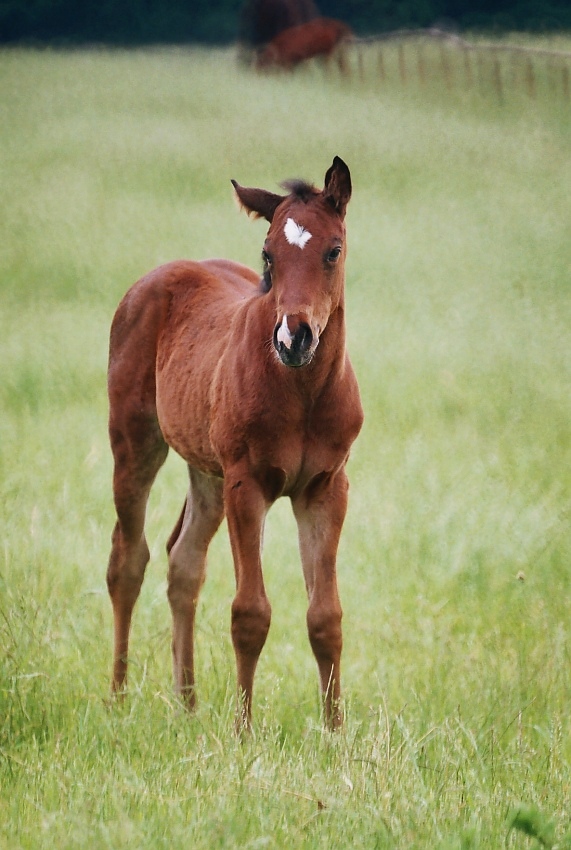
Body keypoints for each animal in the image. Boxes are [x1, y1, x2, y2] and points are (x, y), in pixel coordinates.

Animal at [106, 156, 362, 724]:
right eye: (268, 254)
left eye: (333, 250)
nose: (293, 338)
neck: (302, 392)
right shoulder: (248, 483)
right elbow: (250, 613)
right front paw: (243, 732)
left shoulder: (325, 487)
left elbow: (326, 617)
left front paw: (336, 733)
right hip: (136, 442)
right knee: (128, 560)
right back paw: (118, 698)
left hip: (206, 470)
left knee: (183, 561)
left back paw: (187, 705)